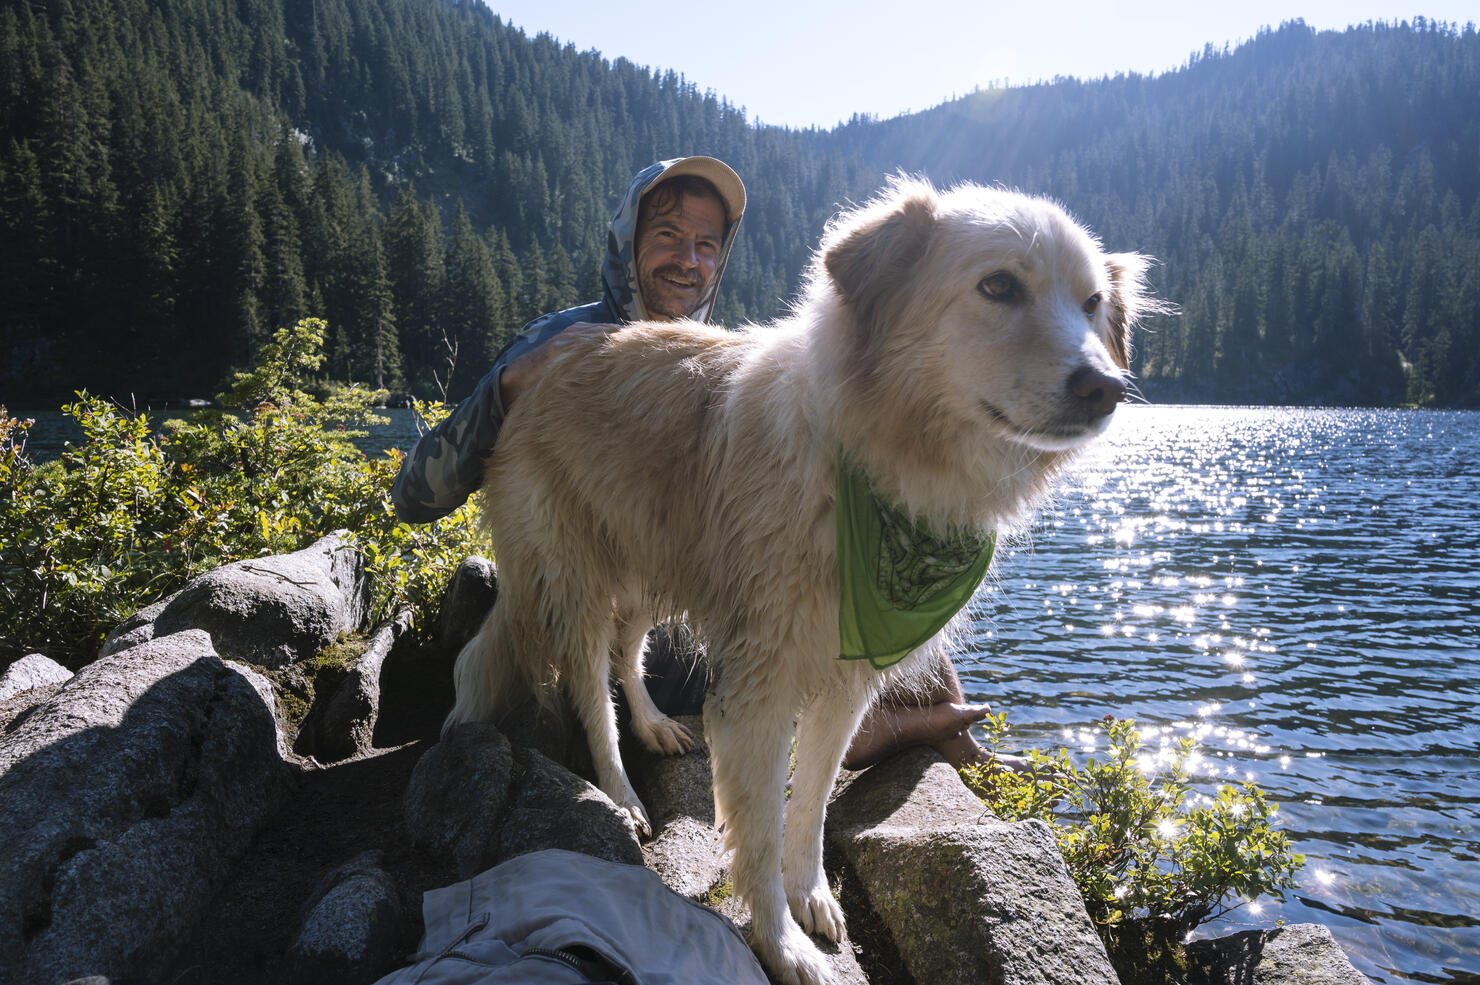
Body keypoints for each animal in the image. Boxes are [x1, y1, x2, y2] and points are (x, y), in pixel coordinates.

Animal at [444, 178, 1160, 982]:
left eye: (1093, 303)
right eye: (999, 286)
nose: (1107, 387)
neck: (875, 463)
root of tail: (538, 365)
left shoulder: (848, 680)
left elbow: (812, 800)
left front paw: (810, 895)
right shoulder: (760, 685)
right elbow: (756, 830)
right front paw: (782, 943)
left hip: (654, 559)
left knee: (628, 650)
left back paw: (655, 725)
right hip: (577, 573)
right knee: (588, 684)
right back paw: (622, 793)